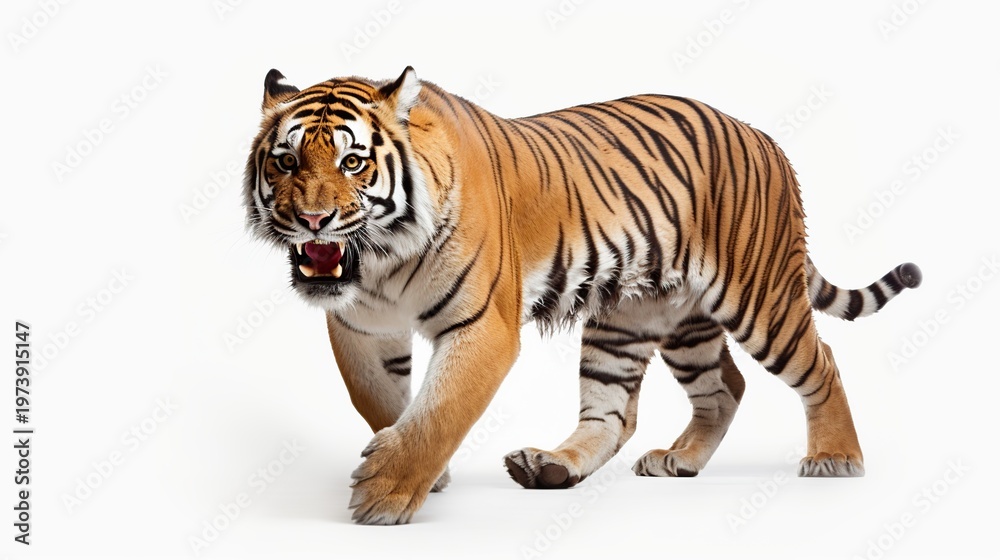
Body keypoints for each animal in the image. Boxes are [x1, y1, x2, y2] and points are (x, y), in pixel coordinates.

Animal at [243, 66, 921, 525]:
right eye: (286, 161)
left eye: (354, 163)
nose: (311, 220)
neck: (382, 260)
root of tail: (762, 137)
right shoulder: (361, 328)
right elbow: (382, 400)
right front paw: (419, 474)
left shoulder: (482, 325)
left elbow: (442, 409)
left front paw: (387, 493)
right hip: (645, 318)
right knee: (682, 396)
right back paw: (593, 463)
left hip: (759, 296)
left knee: (820, 363)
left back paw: (835, 457)